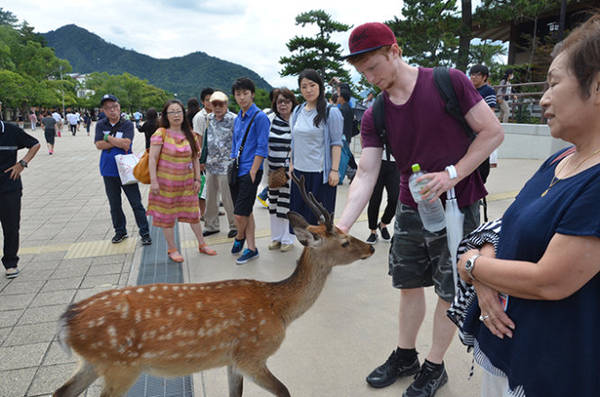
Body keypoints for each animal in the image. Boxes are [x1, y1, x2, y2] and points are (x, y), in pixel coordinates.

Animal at [55, 173, 376, 396]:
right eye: (345, 241)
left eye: (347, 232)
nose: (370, 248)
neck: (279, 308)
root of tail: (66, 322)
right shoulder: (251, 355)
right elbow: (284, 390)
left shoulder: (231, 361)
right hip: (120, 366)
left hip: (92, 363)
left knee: (61, 391)